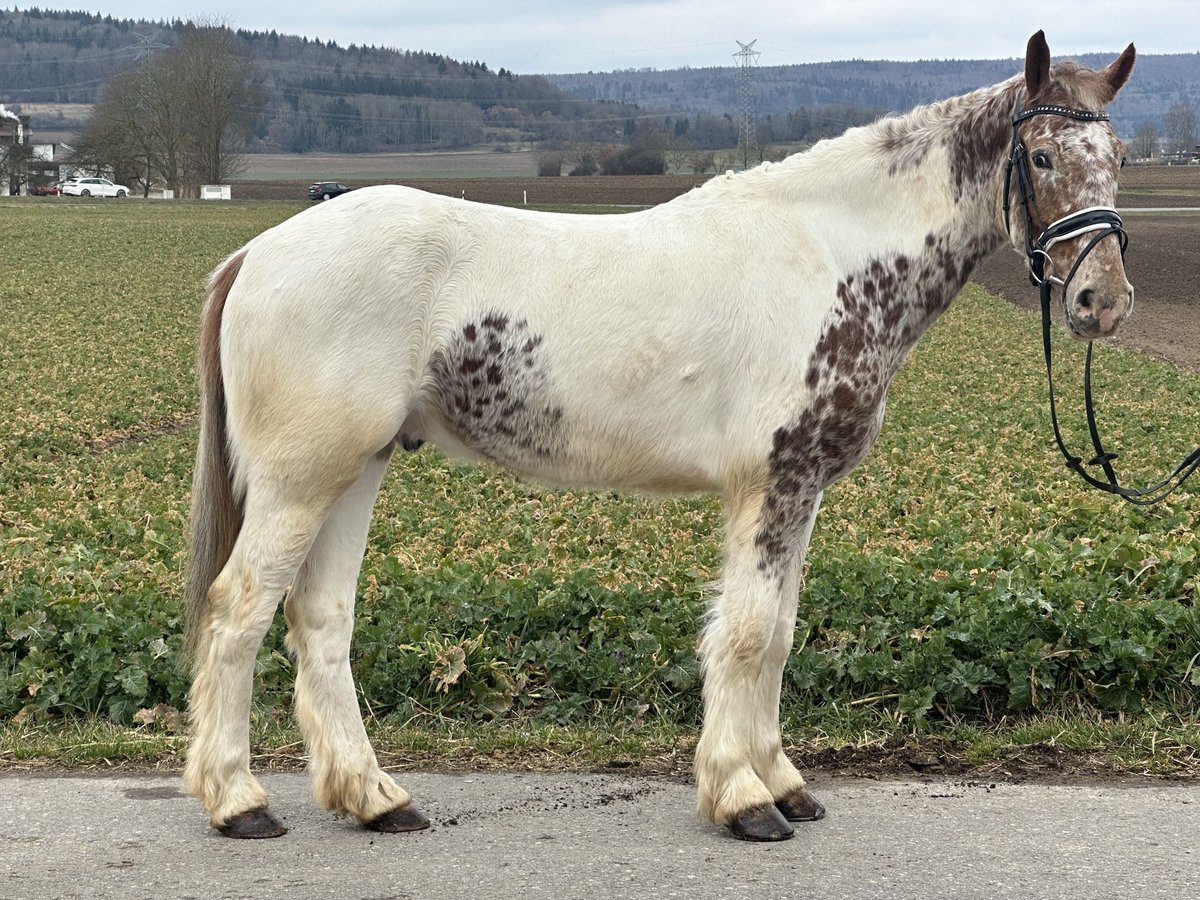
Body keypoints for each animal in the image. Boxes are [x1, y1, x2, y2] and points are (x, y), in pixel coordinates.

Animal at [184, 30, 1132, 844]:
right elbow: (748, 634)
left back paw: (375, 798)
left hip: (356, 468)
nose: (1104, 301)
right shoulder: (772, 483)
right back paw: (239, 802)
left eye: (1119, 159)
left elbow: (779, 632)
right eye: (1042, 156)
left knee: (320, 618)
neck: (828, 255)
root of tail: (257, 255)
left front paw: (783, 781)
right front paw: (744, 799)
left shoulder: (802, 491)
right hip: (302, 479)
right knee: (239, 610)